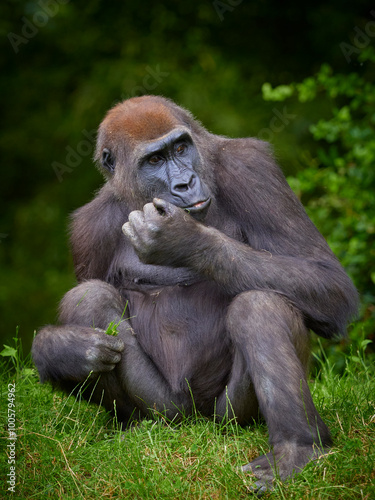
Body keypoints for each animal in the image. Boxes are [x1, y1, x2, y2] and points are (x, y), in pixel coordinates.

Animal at [32, 95, 358, 490]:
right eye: (154, 161)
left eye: (180, 148)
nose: (185, 183)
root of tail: (199, 425)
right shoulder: (87, 228)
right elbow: (87, 296)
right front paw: (59, 349)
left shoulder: (252, 168)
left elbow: (327, 280)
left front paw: (184, 240)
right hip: (169, 414)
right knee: (90, 298)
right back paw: (132, 422)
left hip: (229, 420)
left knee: (260, 306)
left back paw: (298, 447)